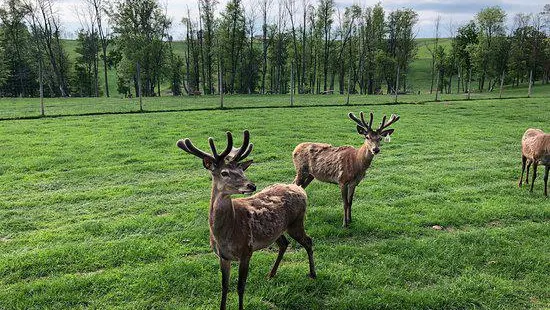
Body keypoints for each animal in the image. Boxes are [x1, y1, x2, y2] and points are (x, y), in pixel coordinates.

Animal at [179, 130, 316, 308]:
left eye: (242, 171)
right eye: (224, 172)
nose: (251, 185)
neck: (225, 233)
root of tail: (299, 189)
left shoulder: (246, 251)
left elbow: (240, 287)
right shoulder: (222, 256)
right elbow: (224, 286)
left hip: (296, 222)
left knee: (308, 241)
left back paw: (313, 274)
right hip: (276, 231)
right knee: (284, 244)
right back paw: (271, 274)